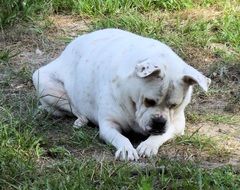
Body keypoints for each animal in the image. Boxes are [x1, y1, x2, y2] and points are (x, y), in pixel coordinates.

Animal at [33, 29, 210, 161]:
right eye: (149, 101)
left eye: (174, 105)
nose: (159, 122)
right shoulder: (108, 125)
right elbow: (121, 138)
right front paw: (126, 149)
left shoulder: (177, 125)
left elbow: (162, 135)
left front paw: (148, 145)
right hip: (44, 82)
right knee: (73, 109)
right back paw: (79, 120)